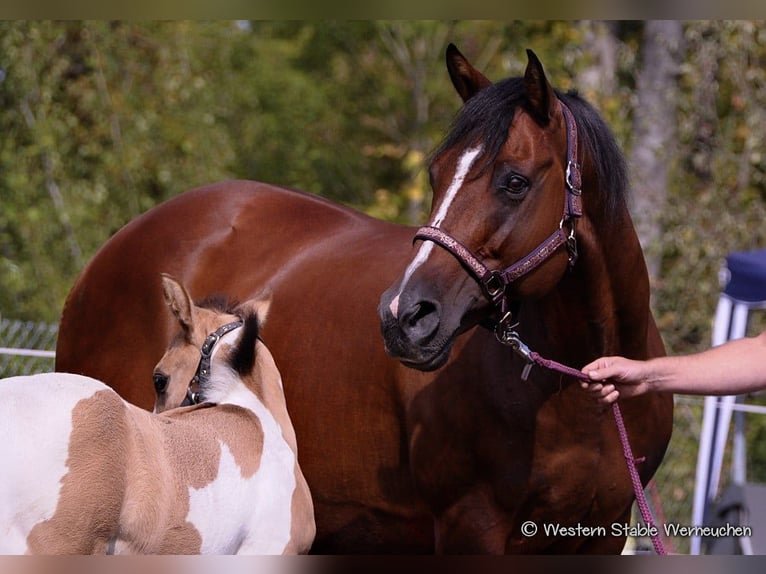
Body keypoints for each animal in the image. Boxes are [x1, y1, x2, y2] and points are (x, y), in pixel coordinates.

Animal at [55, 46, 672, 560]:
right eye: (435, 174)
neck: (582, 398)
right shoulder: (472, 527)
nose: (404, 317)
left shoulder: (602, 533)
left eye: (515, 181)